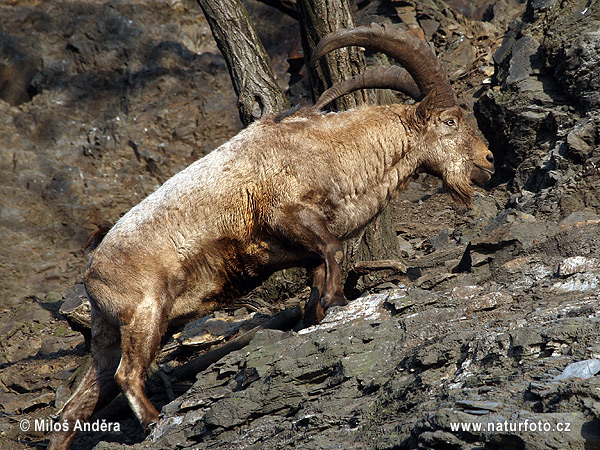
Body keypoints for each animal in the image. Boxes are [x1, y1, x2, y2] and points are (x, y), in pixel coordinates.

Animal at [50, 22, 492, 448]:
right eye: (450, 122)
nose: (487, 160)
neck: (326, 150)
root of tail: (91, 273)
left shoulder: (304, 250)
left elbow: (319, 275)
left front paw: (320, 312)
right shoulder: (285, 212)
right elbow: (332, 250)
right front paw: (339, 301)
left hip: (109, 334)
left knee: (76, 406)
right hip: (145, 312)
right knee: (126, 374)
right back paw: (155, 420)